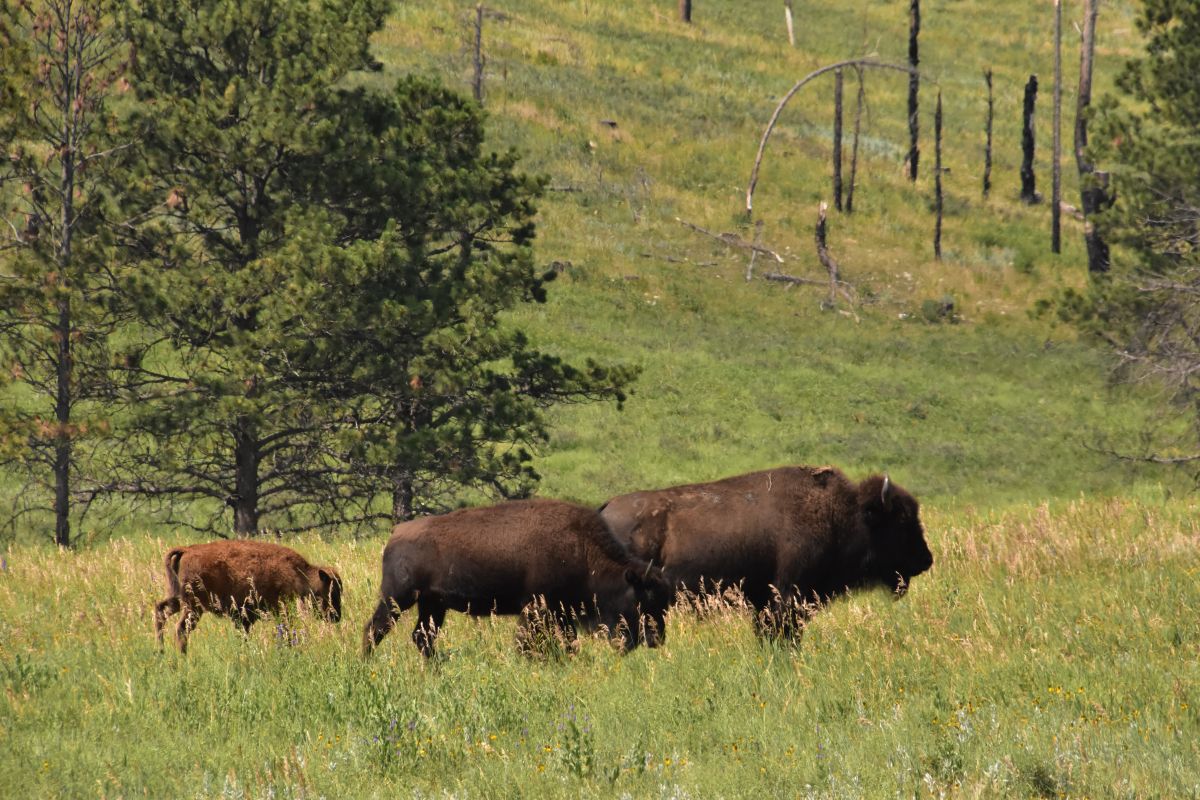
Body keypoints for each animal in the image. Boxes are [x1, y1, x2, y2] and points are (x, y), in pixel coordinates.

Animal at [152, 542, 343, 652]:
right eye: (331, 591)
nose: (336, 616)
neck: (300, 574)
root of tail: (186, 550)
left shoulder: (244, 618)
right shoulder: (279, 611)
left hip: (179, 599)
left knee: (161, 611)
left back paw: (162, 653)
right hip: (194, 607)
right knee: (181, 629)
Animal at [360, 501, 672, 657]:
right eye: (644, 599)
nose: (657, 638)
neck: (583, 550)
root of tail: (396, 533)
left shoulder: (560, 613)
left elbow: (566, 643)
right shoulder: (536, 608)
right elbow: (528, 643)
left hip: (433, 604)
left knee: (422, 637)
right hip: (398, 598)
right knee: (375, 629)